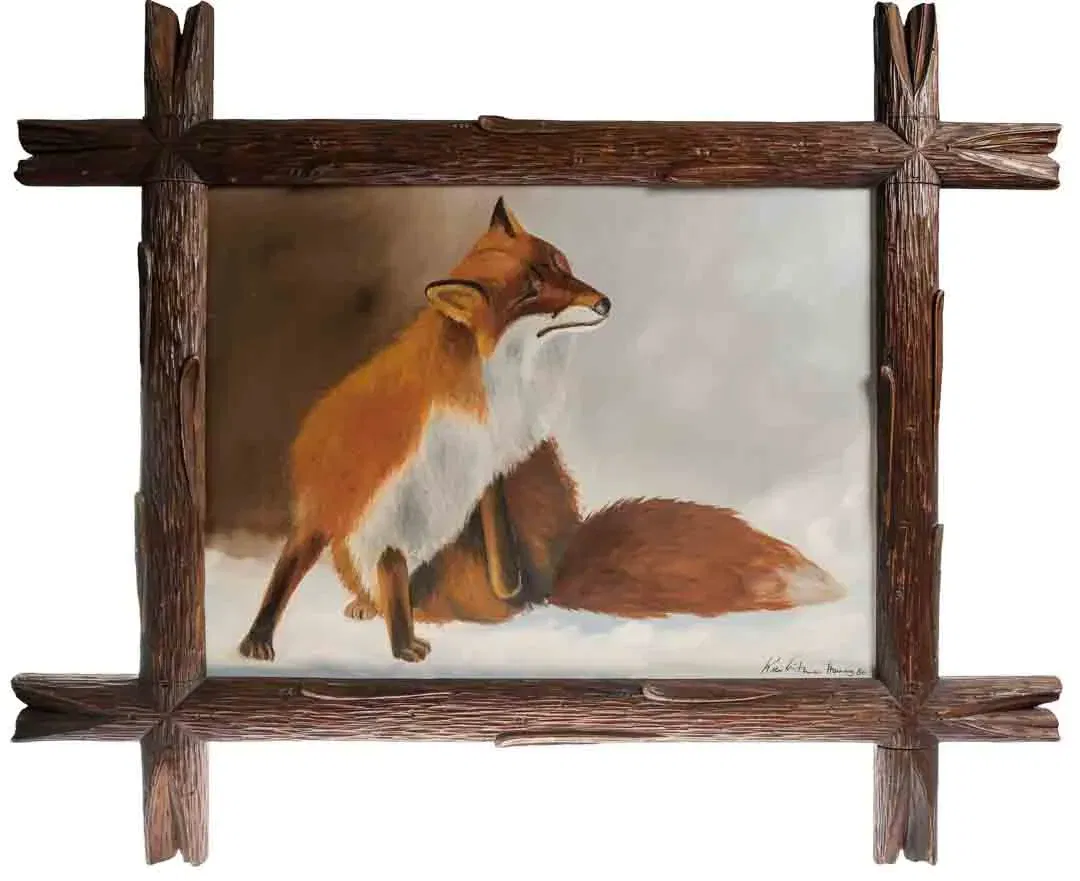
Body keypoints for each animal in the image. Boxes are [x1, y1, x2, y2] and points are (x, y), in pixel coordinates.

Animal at [238, 198, 612, 663]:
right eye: (530, 292)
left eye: (561, 265)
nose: (604, 303)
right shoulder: (374, 503)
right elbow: (310, 570)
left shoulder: (482, 469)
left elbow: (495, 533)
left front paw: (506, 582)